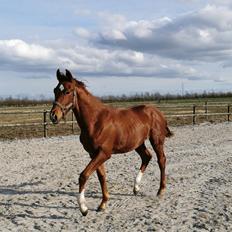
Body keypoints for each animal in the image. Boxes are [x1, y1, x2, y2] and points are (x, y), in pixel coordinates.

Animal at [49, 69, 172, 216]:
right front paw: (103, 204)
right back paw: (136, 188)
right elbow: (101, 176)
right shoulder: (94, 153)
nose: (53, 116)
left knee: (161, 160)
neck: (95, 121)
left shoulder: (104, 153)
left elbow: (84, 175)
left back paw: (161, 190)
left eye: (67, 91)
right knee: (146, 157)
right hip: (138, 143)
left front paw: (84, 208)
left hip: (156, 140)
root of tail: (157, 112)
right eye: (55, 90)